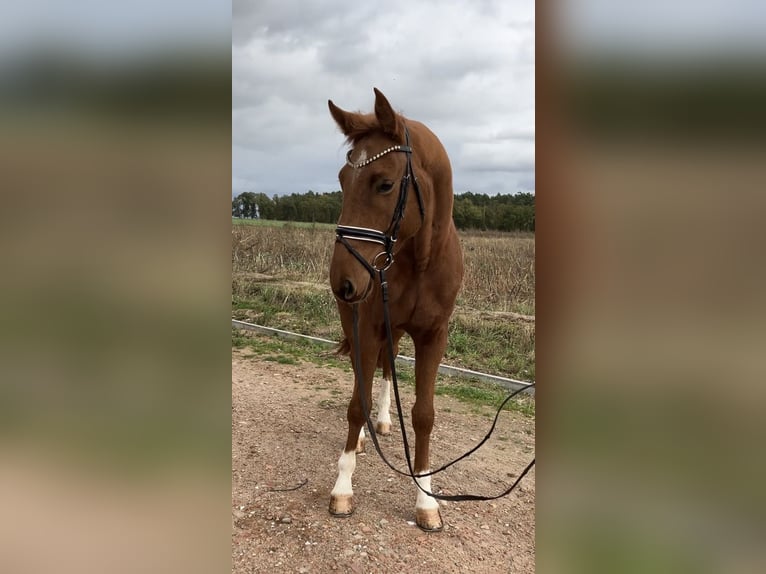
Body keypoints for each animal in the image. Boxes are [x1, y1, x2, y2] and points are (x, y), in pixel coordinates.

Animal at [327, 88, 464, 532]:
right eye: (342, 179)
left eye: (385, 184)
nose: (342, 281)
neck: (419, 259)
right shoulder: (367, 326)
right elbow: (357, 403)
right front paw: (342, 489)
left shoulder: (432, 336)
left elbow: (423, 415)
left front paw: (426, 500)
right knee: (364, 376)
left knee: (387, 367)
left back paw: (385, 421)